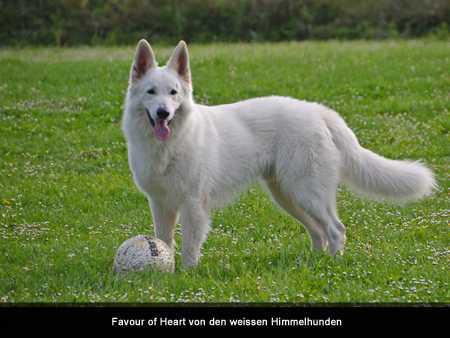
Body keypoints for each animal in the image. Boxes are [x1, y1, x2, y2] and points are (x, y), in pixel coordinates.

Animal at [122, 39, 436, 266]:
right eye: (151, 92)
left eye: (173, 93)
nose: (163, 113)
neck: (169, 145)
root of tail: (317, 111)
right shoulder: (160, 204)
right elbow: (164, 242)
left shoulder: (193, 205)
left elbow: (189, 248)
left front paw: (187, 274)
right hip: (288, 196)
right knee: (318, 232)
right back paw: (313, 263)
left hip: (307, 193)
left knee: (336, 230)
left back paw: (333, 266)